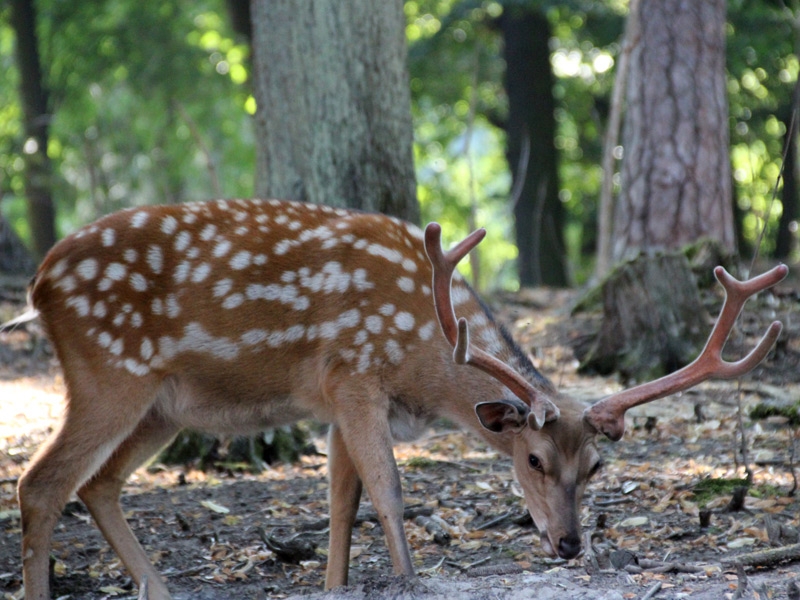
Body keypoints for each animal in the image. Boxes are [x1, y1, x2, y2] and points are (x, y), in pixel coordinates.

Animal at [3, 198, 784, 600]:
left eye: (594, 467)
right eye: (531, 458)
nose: (568, 543)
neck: (423, 358)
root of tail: (38, 285)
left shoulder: (332, 399)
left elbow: (341, 502)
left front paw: (334, 587)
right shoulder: (353, 373)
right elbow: (387, 490)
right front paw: (408, 580)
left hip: (164, 405)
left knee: (97, 483)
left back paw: (160, 591)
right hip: (108, 371)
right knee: (40, 481)